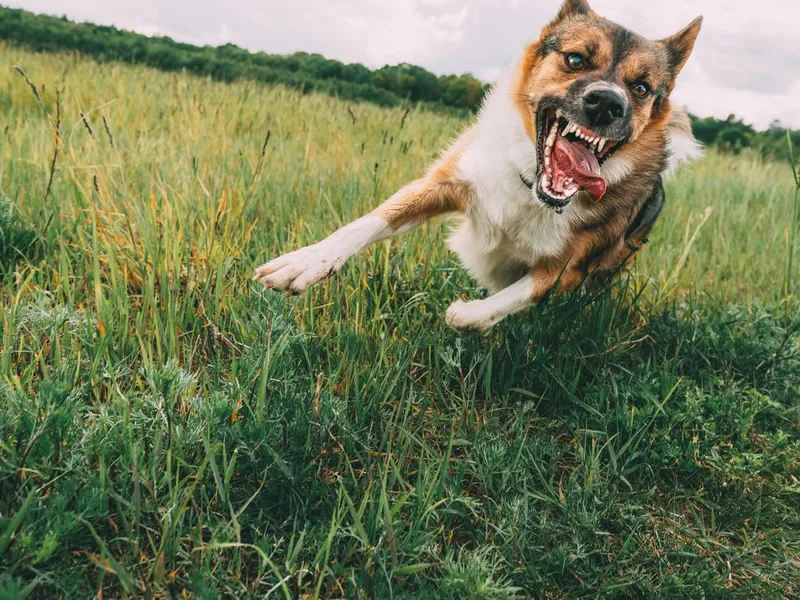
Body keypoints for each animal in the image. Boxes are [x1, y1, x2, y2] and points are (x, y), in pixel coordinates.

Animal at [255, 0, 700, 330]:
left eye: (640, 88)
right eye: (575, 60)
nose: (608, 103)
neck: (532, 188)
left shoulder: (568, 270)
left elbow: (495, 306)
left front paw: (464, 310)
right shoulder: (446, 182)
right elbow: (369, 222)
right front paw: (303, 264)